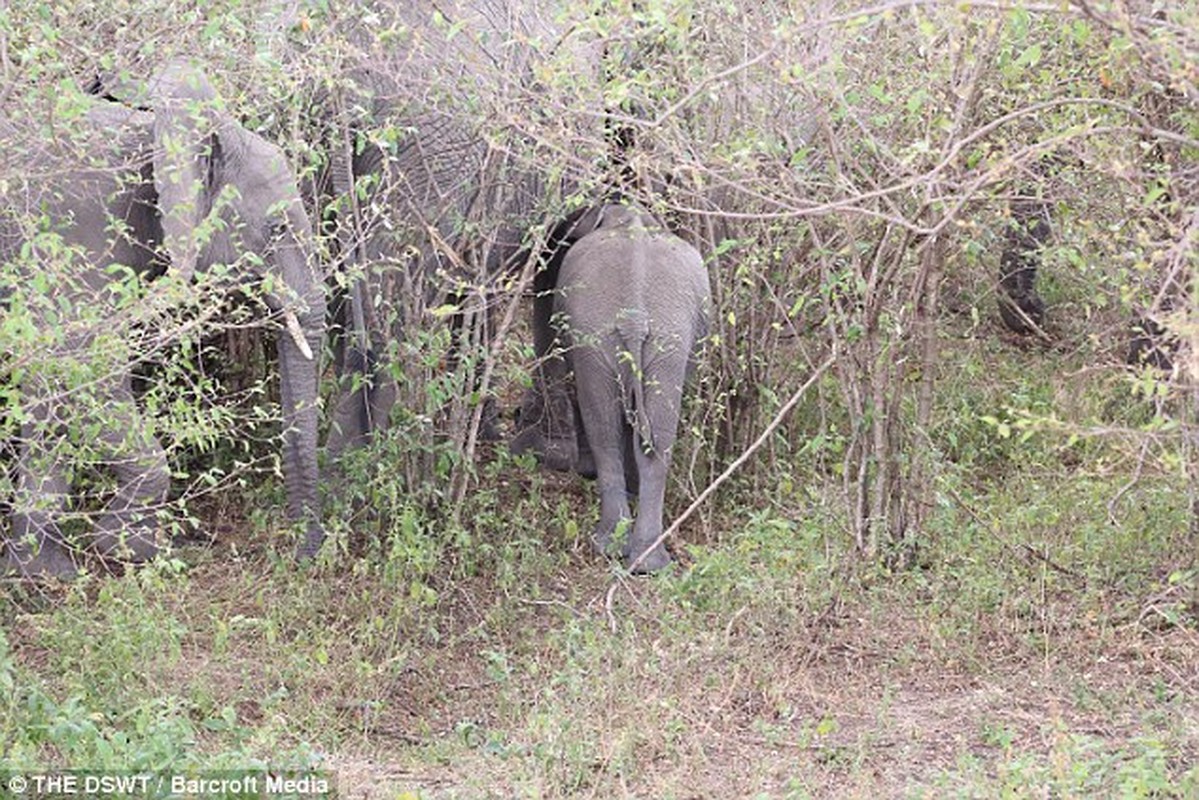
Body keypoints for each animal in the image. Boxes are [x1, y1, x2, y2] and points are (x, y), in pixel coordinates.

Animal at [0, 61, 326, 575]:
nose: (302, 555)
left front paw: (46, 574)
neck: (163, 138)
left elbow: (47, 385)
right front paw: (130, 549)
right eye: (276, 229)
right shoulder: (75, 226)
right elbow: (78, 367)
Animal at [508, 203, 709, 573]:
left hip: (611, 337)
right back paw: (644, 559)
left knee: (607, 427)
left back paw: (614, 546)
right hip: (661, 341)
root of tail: (635, 317)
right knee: (652, 437)